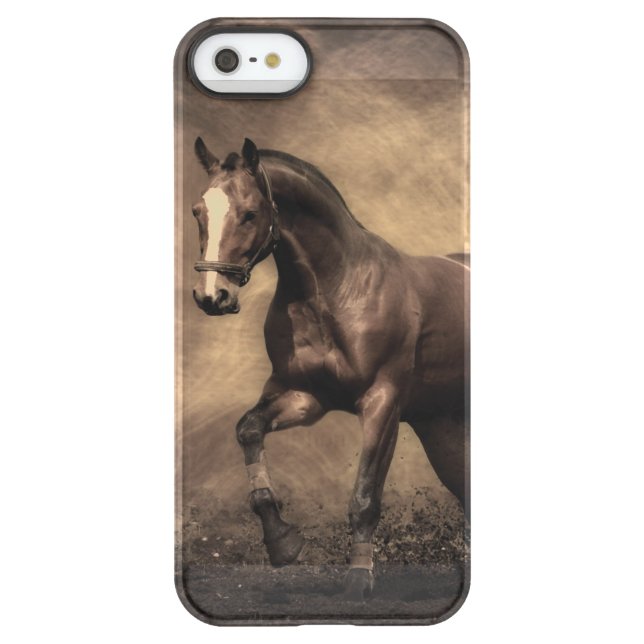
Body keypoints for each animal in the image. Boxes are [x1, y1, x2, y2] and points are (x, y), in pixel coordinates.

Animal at [190, 137, 470, 600]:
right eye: (199, 211)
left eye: (250, 213)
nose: (213, 296)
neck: (338, 289)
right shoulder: (305, 397)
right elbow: (248, 430)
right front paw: (283, 542)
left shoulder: (382, 403)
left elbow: (364, 496)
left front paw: (359, 578)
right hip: (442, 430)